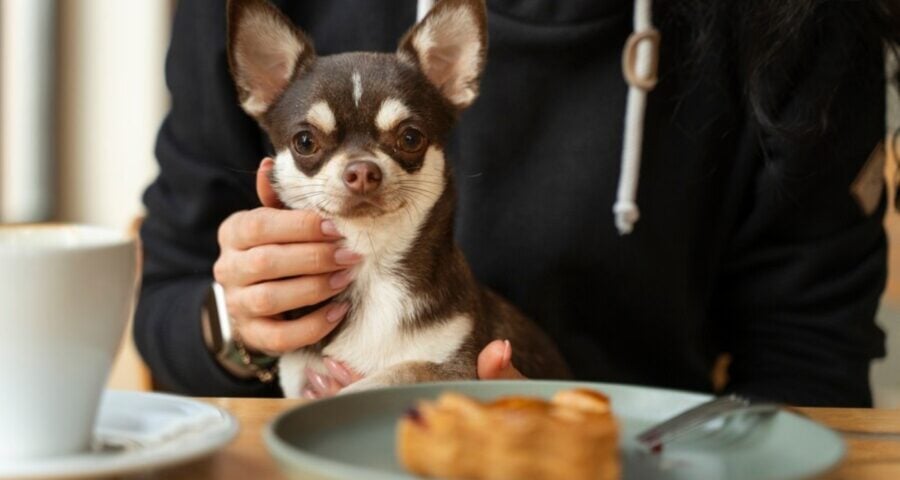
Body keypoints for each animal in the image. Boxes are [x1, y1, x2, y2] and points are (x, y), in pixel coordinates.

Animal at [229, 0, 568, 398]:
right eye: (305, 142)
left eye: (410, 138)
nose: (362, 171)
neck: (371, 262)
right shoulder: (300, 377)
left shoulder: (458, 367)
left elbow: (398, 372)